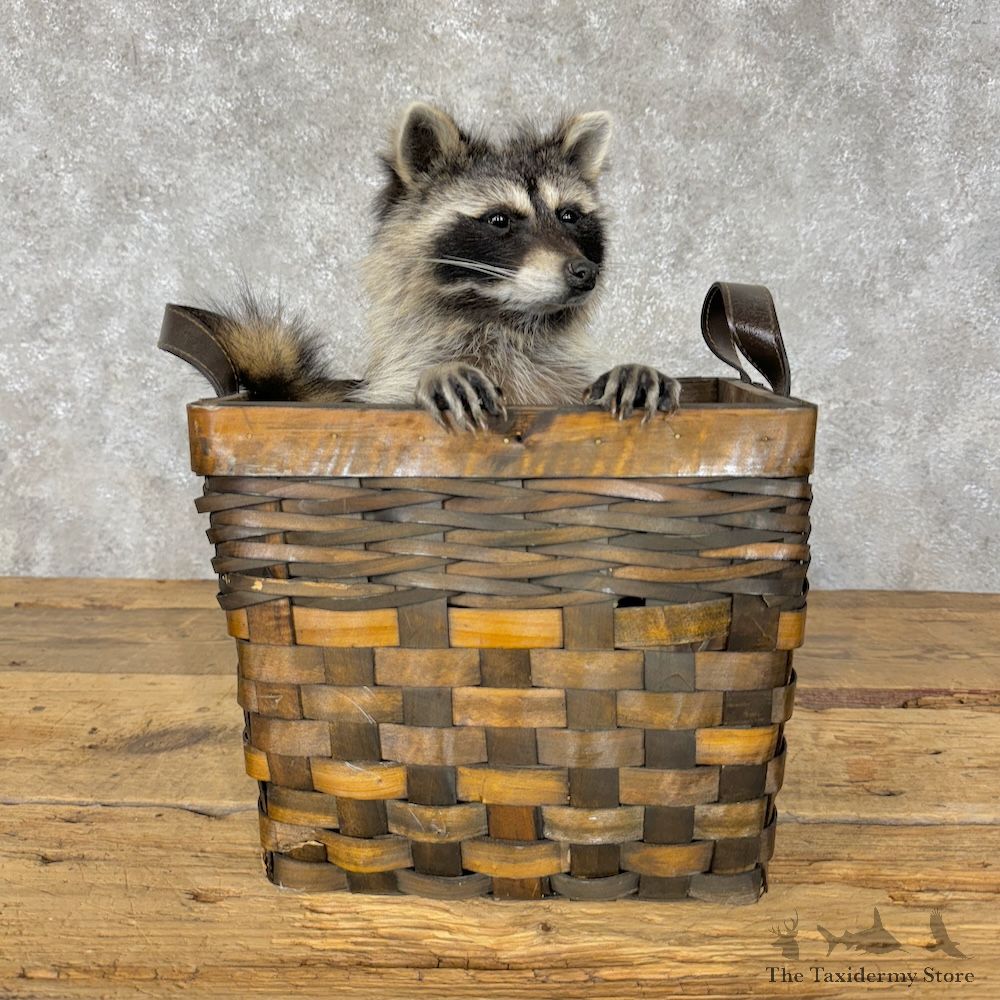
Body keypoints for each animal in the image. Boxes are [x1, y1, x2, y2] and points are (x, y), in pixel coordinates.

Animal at [213, 103, 680, 429]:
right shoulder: (392, 383)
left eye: (569, 215)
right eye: (499, 220)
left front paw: (632, 370)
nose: (584, 272)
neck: (501, 320)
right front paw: (441, 375)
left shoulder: (556, 380)